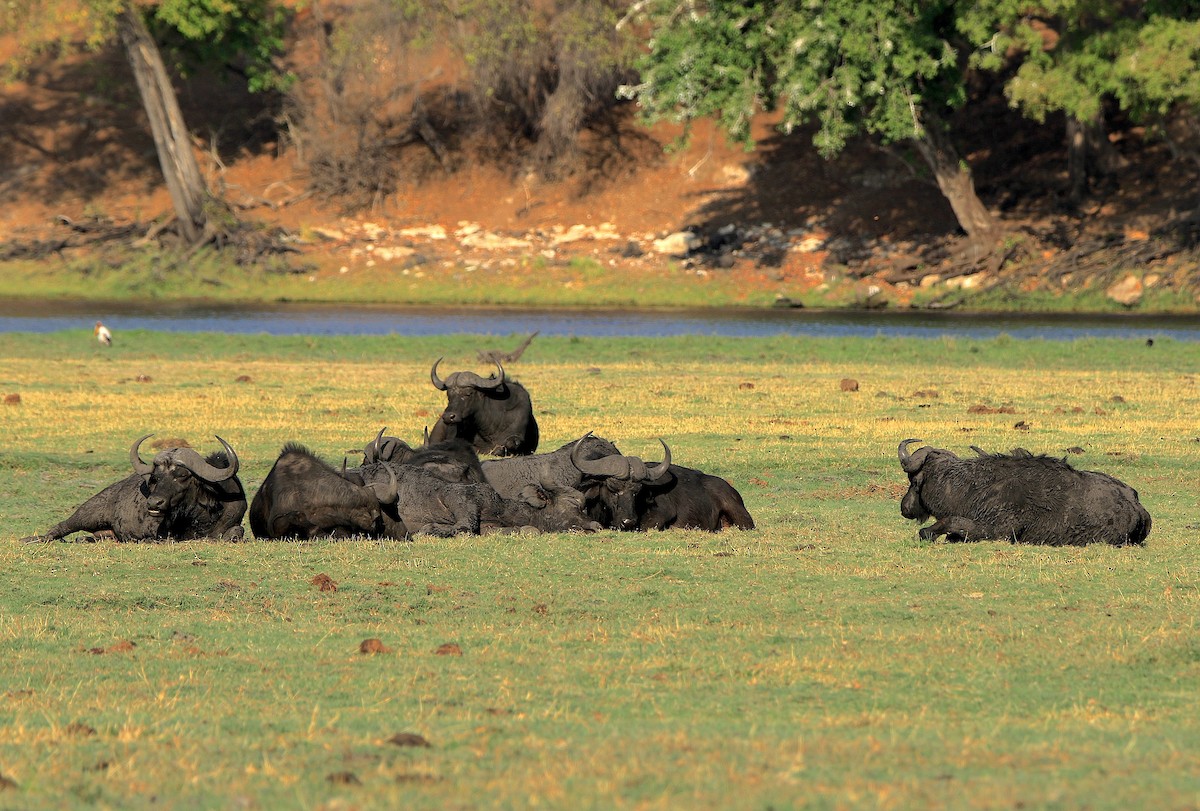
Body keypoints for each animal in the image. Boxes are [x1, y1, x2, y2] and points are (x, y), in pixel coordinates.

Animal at [22, 435, 247, 543]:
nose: (154, 502)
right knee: (60, 527)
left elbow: (238, 531)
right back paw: (32, 539)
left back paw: (85, 539)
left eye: (182, 475)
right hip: (86, 513)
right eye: (156, 477)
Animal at [898, 439, 1151, 546]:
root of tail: (1137, 507)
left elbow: (950, 522)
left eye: (913, 481)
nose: (904, 507)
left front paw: (929, 532)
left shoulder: (998, 530)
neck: (971, 487)